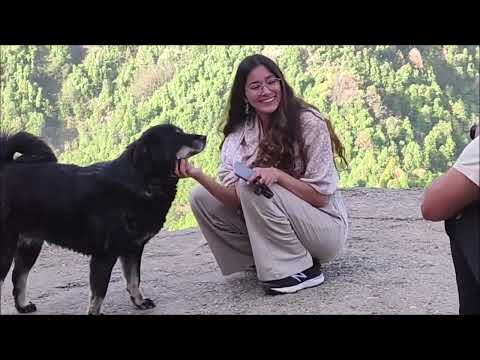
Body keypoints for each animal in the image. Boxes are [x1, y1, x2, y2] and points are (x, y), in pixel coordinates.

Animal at [0, 124, 206, 316]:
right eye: (177, 135)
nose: (204, 136)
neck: (140, 181)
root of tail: (6, 165)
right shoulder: (104, 256)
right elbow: (100, 292)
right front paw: (95, 312)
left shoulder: (133, 249)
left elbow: (134, 280)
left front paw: (139, 302)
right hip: (8, 248)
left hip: (30, 245)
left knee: (18, 278)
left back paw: (22, 306)